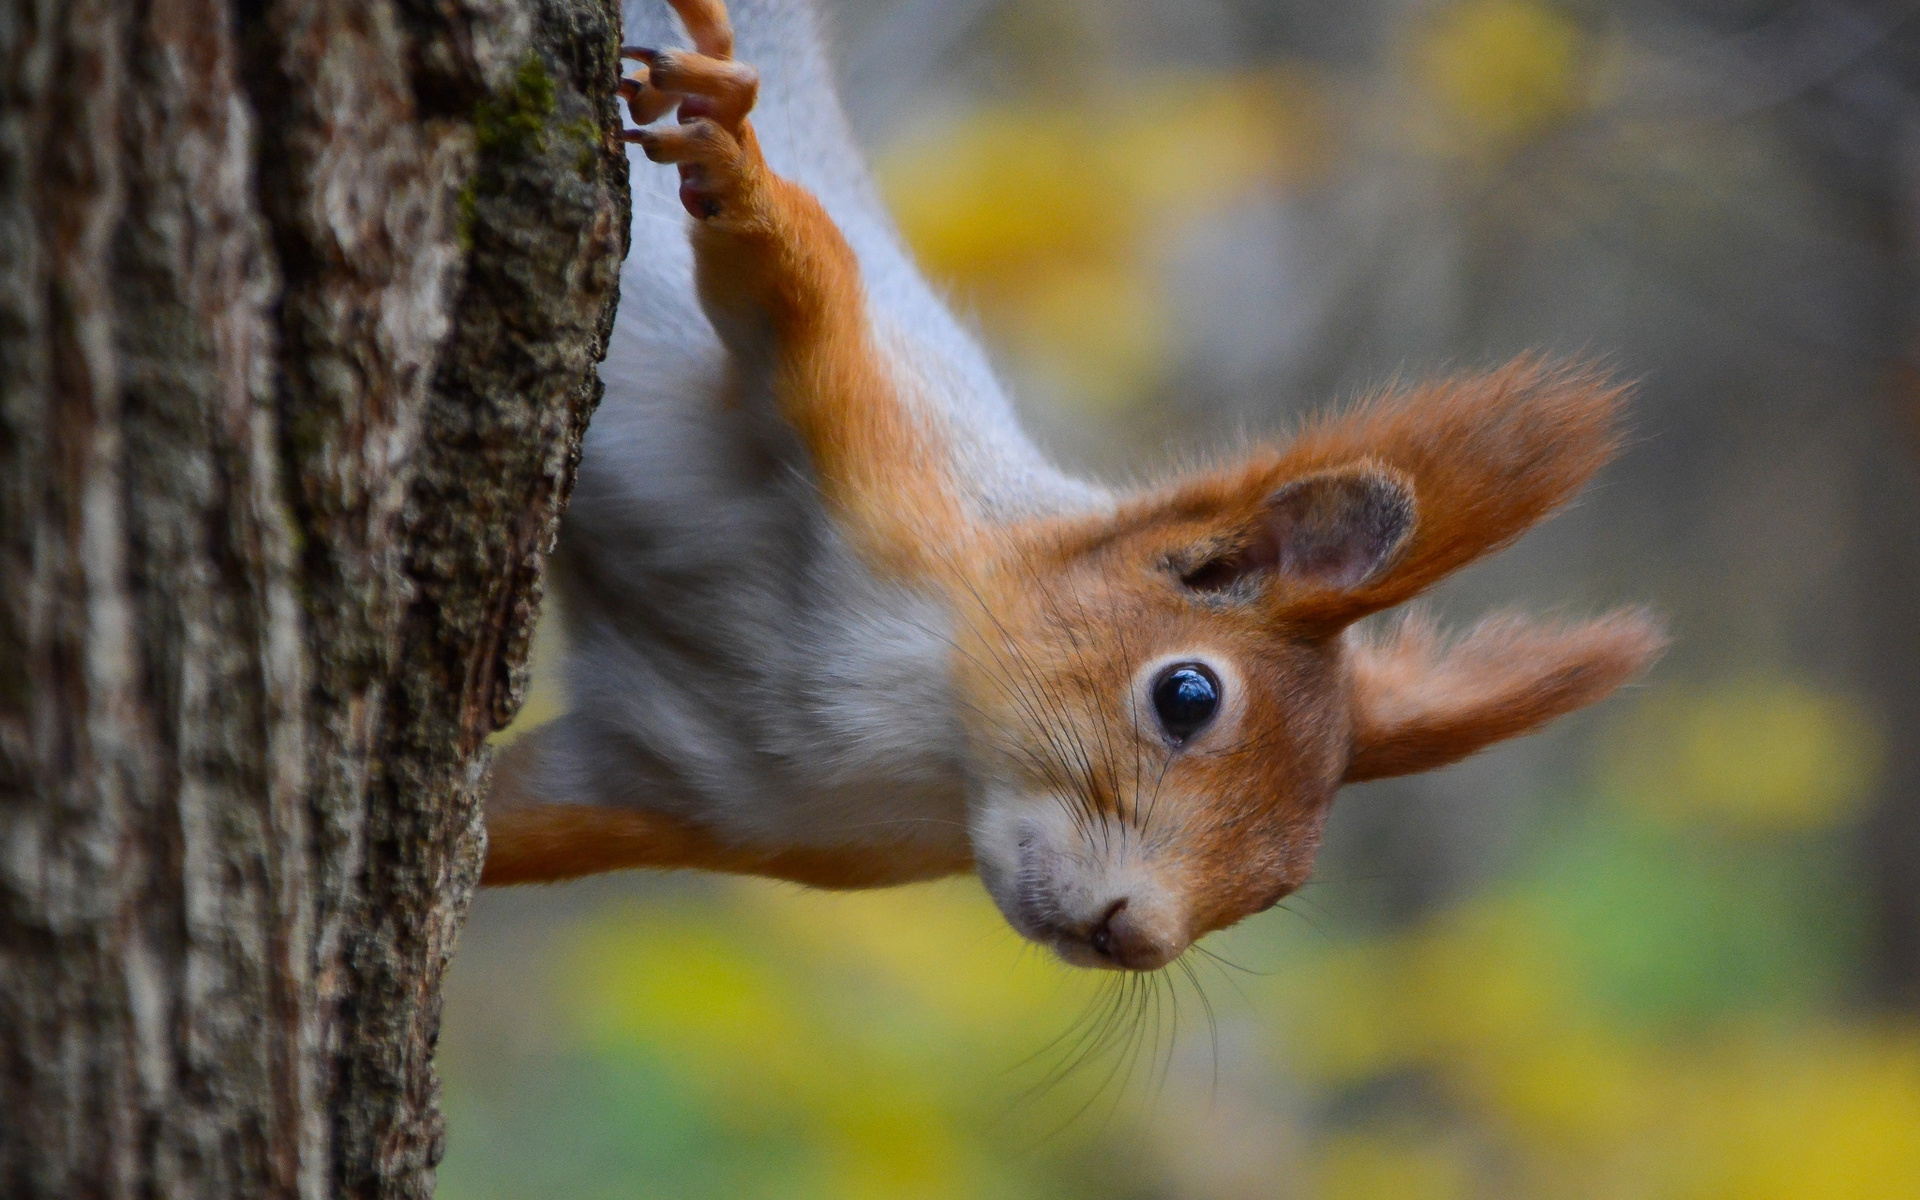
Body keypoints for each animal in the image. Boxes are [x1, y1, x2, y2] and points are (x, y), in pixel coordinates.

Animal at [487, 0, 1674, 975]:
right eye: (1188, 696)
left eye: (1282, 883)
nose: (1131, 936)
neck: (921, 732)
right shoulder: (877, 438)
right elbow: (794, 277)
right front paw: (729, 157)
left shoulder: (678, 788)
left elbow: (502, 823)